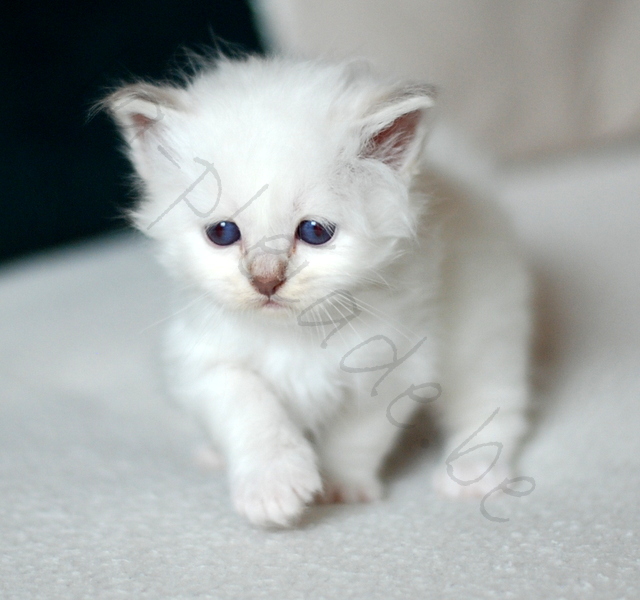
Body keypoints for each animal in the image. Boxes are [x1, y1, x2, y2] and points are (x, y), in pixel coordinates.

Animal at [102, 55, 528, 524]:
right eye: (222, 233)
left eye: (314, 232)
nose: (266, 280)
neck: (296, 337)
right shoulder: (204, 362)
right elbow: (250, 411)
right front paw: (272, 486)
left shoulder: (392, 367)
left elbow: (355, 437)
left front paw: (339, 487)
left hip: (486, 325)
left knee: (493, 405)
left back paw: (472, 475)